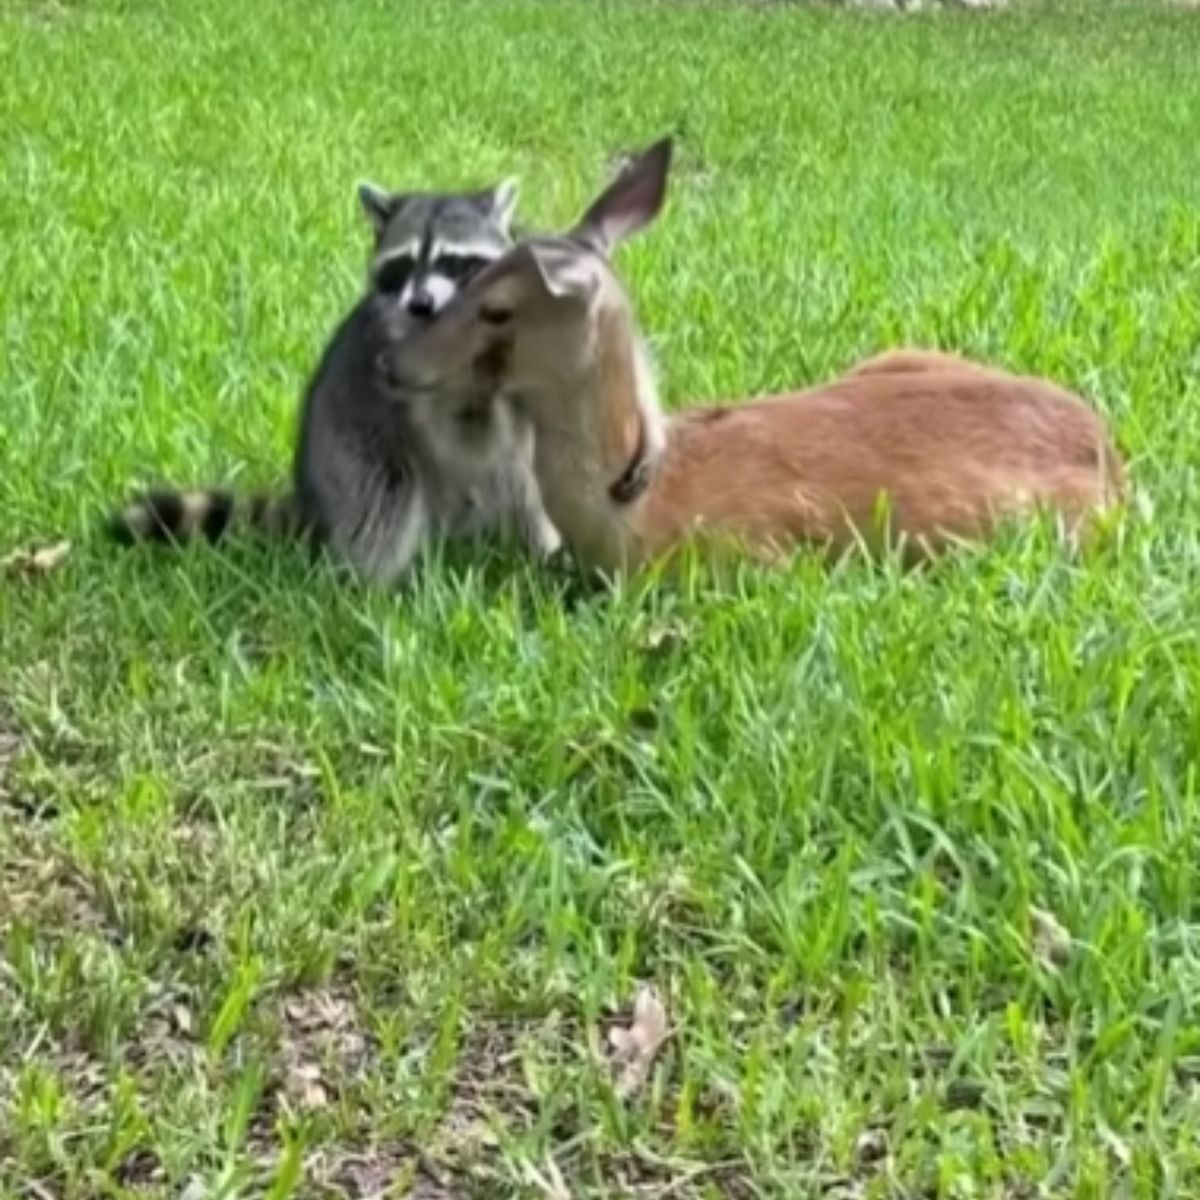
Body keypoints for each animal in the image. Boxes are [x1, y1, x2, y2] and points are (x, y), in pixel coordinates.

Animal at [110, 178, 559, 585]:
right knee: (384, 503)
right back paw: (366, 589)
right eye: (403, 264)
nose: (420, 304)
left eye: (452, 260)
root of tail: (311, 498)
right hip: (353, 452)